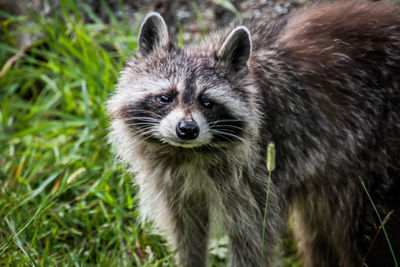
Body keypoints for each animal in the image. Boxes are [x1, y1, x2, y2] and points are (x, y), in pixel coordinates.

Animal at [106, 1, 400, 266]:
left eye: (207, 103)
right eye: (165, 97)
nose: (187, 130)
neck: (190, 154)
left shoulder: (258, 177)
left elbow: (253, 239)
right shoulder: (174, 186)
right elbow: (187, 233)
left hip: (376, 156)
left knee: (365, 227)